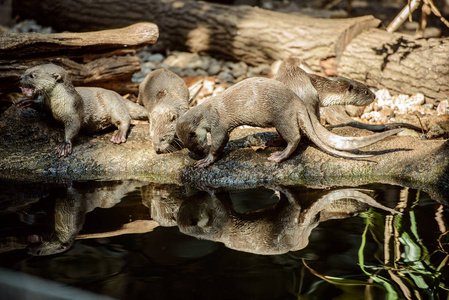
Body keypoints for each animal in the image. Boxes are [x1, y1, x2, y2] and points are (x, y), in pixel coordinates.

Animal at [19, 63, 147, 157]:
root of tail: (119, 95)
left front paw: (65, 144)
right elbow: (41, 105)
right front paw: (27, 101)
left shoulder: (73, 109)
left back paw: (119, 135)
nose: (20, 77)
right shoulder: (46, 102)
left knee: (125, 119)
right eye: (26, 70)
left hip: (113, 104)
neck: (57, 103)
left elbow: (74, 126)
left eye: (32, 75)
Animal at [173, 76, 400, 168]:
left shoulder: (218, 122)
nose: (198, 152)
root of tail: (298, 103)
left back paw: (279, 156)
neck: (207, 111)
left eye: (196, 140)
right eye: (188, 145)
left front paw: (206, 160)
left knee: (295, 137)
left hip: (282, 116)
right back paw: (271, 142)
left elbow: (221, 140)